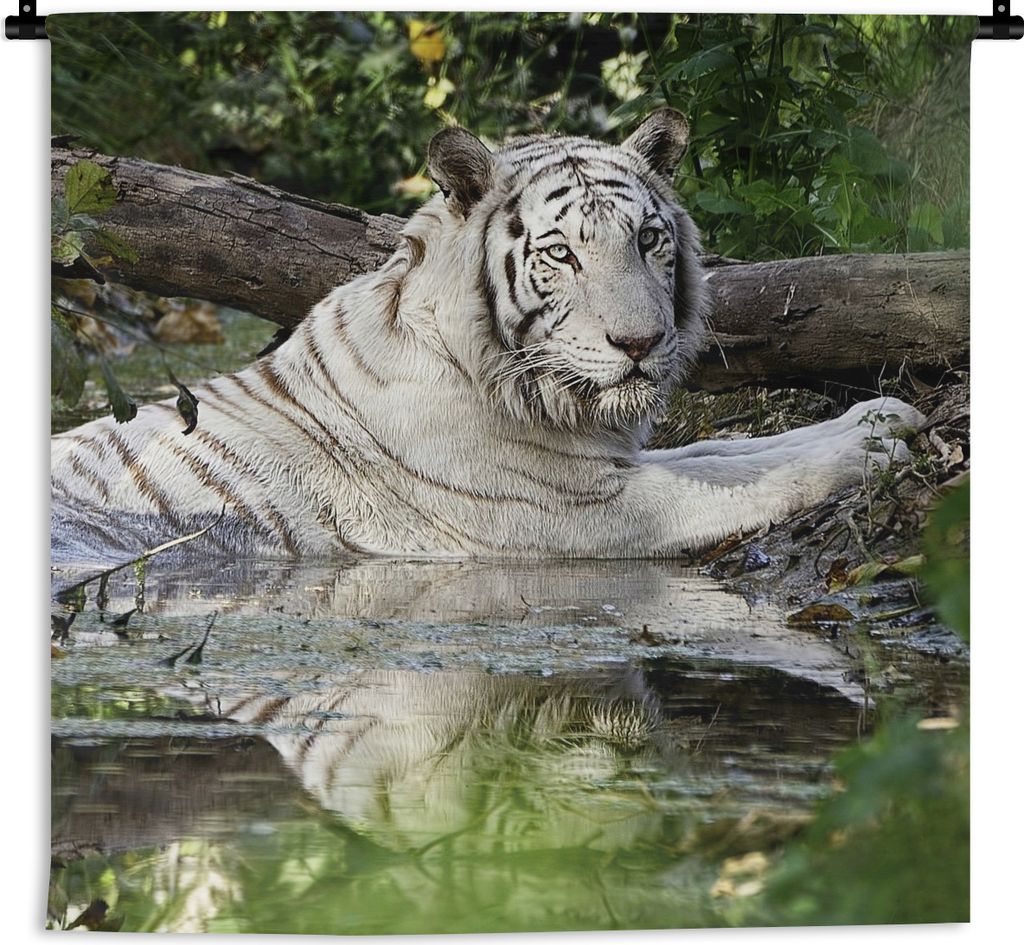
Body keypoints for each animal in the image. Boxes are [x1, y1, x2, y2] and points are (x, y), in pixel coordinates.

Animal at [51, 108, 923, 565]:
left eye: (648, 239)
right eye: (562, 253)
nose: (641, 344)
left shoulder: (605, 465)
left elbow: (734, 453)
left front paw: (885, 416)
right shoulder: (573, 514)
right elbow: (747, 485)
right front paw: (872, 444)